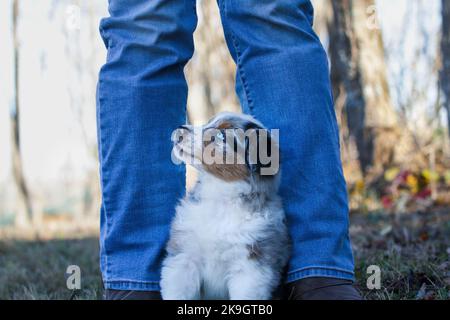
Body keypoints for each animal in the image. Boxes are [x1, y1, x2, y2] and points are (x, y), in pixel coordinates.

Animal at [160, 112, 290, 300]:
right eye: (208, 122)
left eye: (221, 136)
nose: (180, 129)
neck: (220, 199)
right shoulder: (184, 256)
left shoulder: (251, 269)